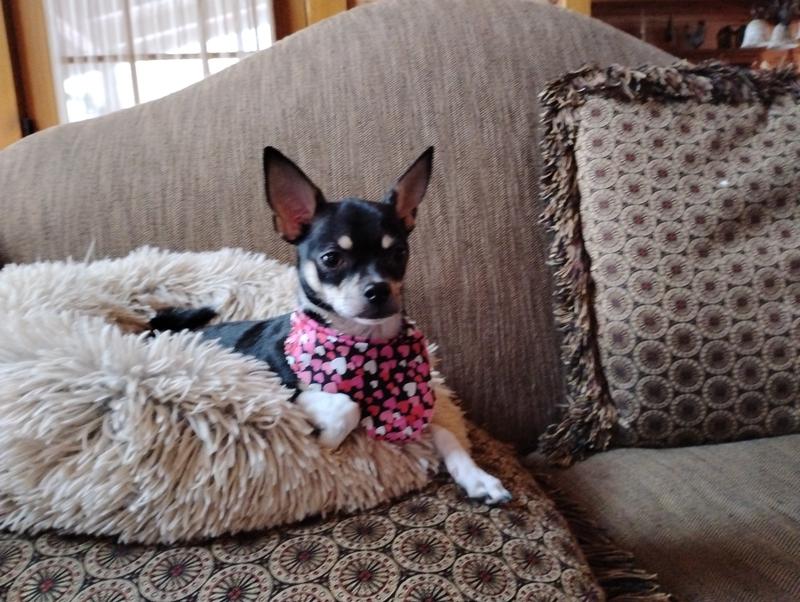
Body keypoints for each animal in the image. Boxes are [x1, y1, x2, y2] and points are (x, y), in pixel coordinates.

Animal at [150, 147, 511, 504]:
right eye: (331, 259)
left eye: (398, 253)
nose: (379, 290)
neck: (364, 346)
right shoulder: (281, 390)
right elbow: (346, 407)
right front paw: (325, 444)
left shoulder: (408, 416)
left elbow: (445, 432)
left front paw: (477, 477)